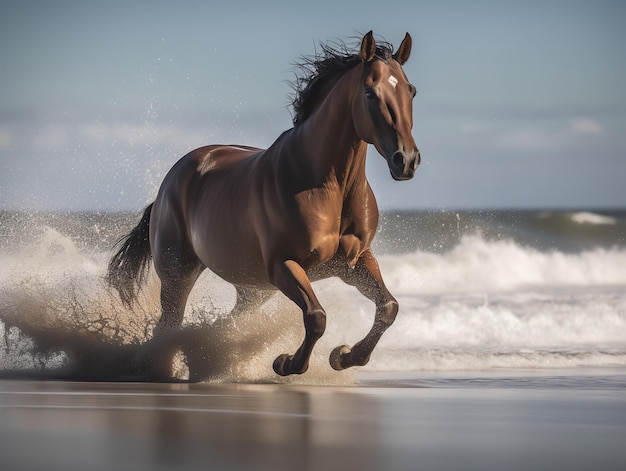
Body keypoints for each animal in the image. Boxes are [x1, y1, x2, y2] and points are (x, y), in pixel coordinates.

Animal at [107, 31, 420, 380]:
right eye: (369, 92)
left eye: (410, 90)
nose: (406, 160)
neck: (325, 186)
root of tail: (169, 183)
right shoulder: (284, 265)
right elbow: (316, 317)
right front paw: (286, 363)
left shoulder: (354, 262)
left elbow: (388, 308)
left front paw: (343, 356)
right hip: (179, 274)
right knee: (169, 325)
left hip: (254, 289)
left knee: (226, 323)